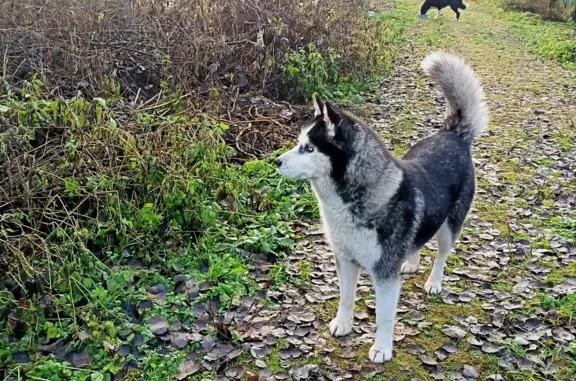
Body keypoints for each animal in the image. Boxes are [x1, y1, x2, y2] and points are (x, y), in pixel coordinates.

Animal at [274, 51, 486, 362]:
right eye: (298, 143)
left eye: (309, 148)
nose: (276, 161)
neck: (350, 202)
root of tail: (453, 135)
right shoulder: (345, 260)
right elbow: (346, 298)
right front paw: (343, 324)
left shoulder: (384, 274)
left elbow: (384, 317)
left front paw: (382, 348)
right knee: (417, 241)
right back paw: (411, 262)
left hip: (450, 227)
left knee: (442, 254)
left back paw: (434, 282)